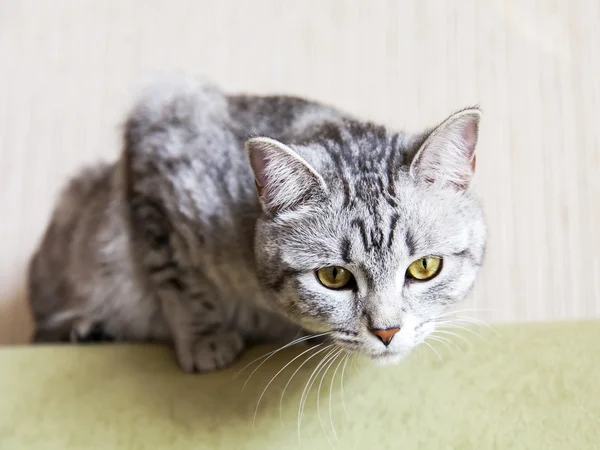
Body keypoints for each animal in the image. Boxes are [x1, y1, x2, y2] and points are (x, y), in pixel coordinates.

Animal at [29, 76, 488, 372]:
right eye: (334, 276)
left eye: (424, 267)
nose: (387, 331)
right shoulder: (157, 147)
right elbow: (178, 280)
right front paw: (205, 340)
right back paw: (87, 328)